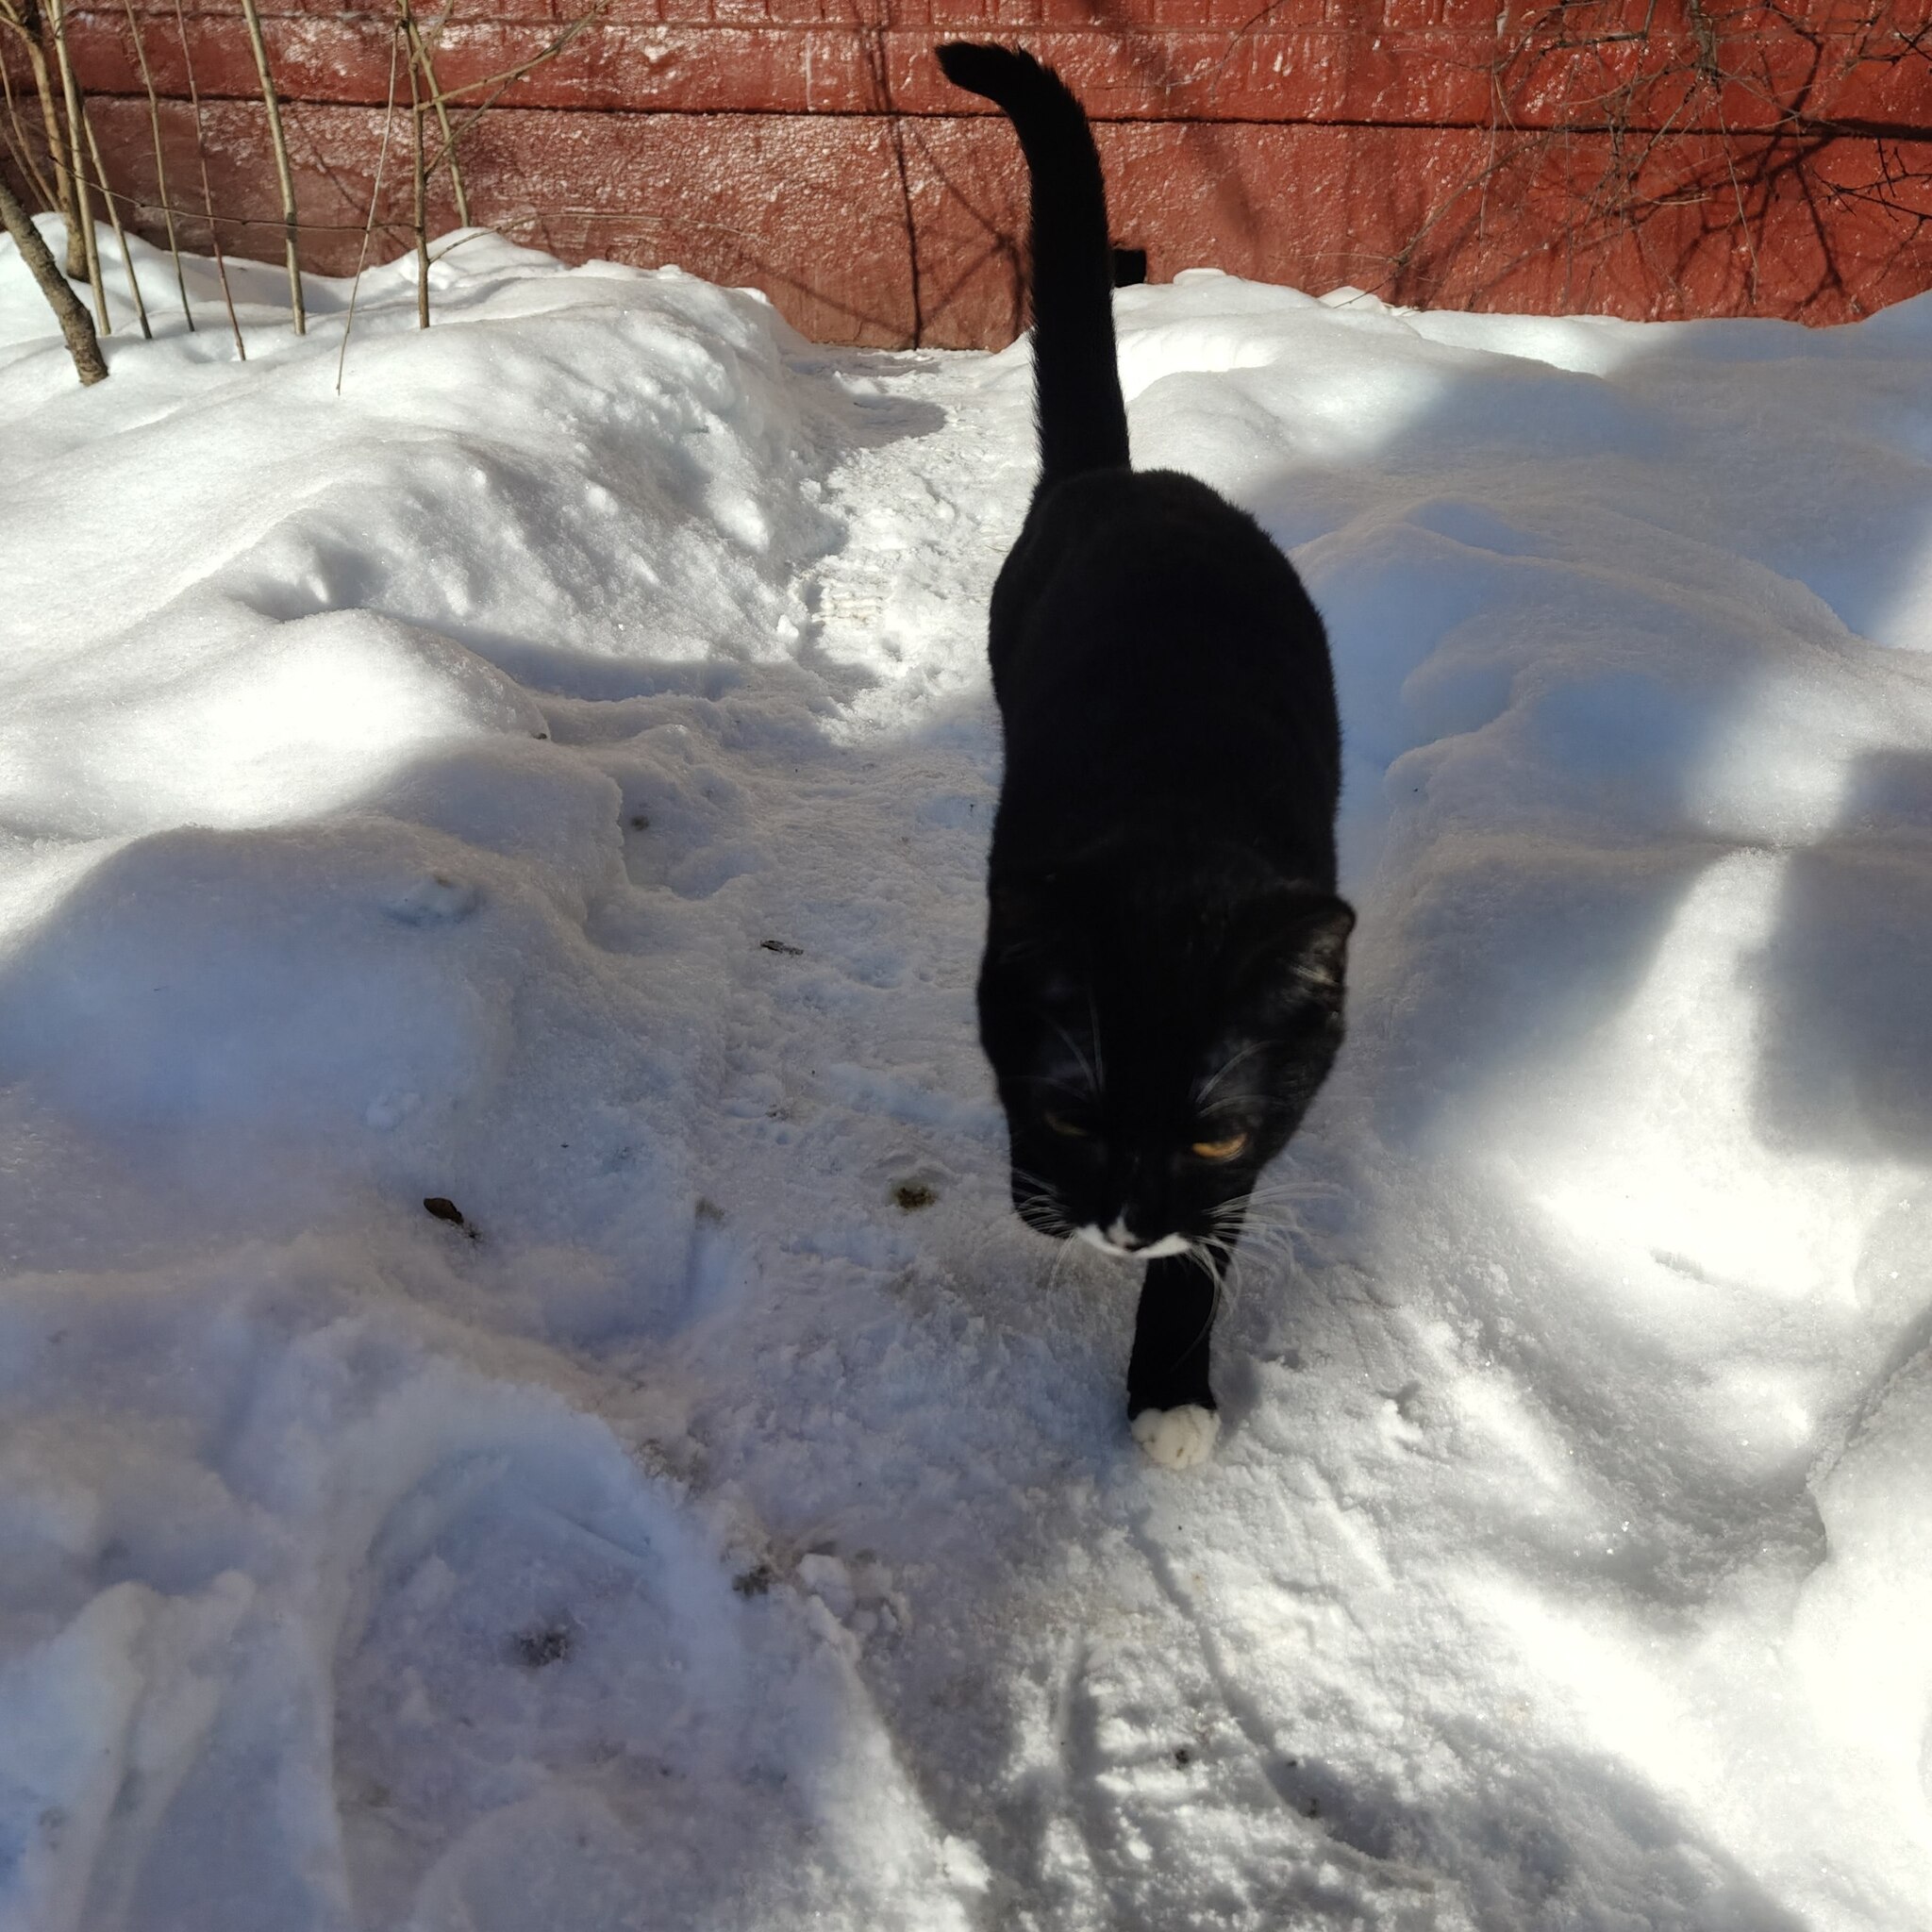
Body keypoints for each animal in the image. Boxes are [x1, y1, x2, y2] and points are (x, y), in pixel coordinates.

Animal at [936, 42, 1353, 1470]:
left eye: (1215, 1136)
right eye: (1074, 1111)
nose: (1124, 1223)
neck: (1178, 826)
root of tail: (1122, 479)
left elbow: (1218, 1232)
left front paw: (1172, 1382)